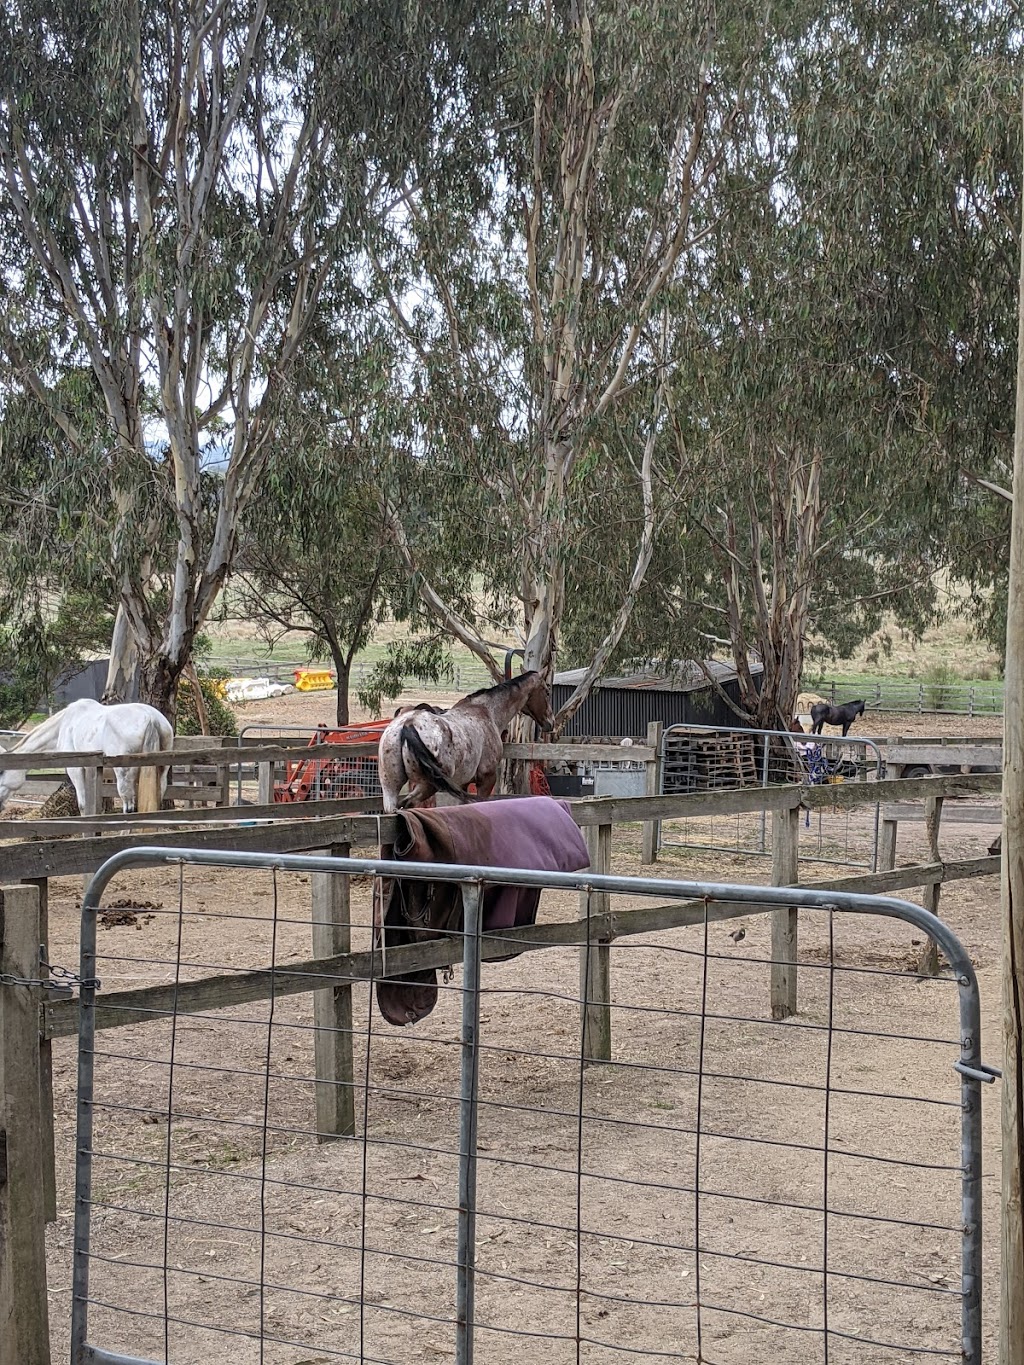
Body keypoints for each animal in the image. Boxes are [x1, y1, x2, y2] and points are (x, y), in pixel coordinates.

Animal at [0, 704, 174, 808]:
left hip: (124, 776)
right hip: (157, 776)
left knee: (129, 806)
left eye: (1, 773)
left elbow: (84, 806)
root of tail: (151, 719)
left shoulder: (77, 771)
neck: (63, 725)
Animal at [376, 671, 554, 808]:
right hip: (427, 785)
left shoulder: (463, 784)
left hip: (390, 788)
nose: (550, 723)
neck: (486, 710)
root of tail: (408, 723)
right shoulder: (486, 780)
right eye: (547, 691)